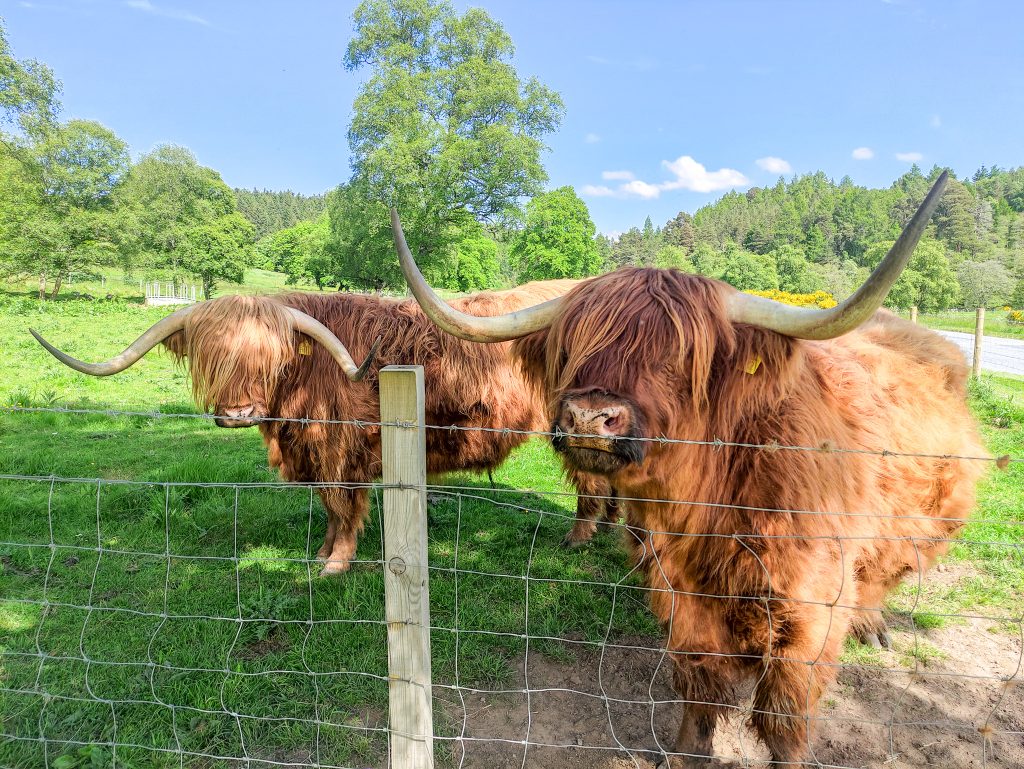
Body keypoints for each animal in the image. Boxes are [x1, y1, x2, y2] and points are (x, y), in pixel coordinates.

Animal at [34, 280, 614, 573]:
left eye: (270, 358)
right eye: (213, 358)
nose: (237, 414)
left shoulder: (341, 453)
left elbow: (342, 506)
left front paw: (336, 562)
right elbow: (328, 509)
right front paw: (322, 552)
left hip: (580, 426)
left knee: (590, 480)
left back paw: (579, 538)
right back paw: (607, 530)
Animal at [389, 171, 983, 765]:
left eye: (677, 359)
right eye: (573, 347)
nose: (588, 417)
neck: (715, 508)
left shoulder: (810, 611)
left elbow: (785, 713)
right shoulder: (683, 595)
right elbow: (698, 683)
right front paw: (684, 752)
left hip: (923, 525)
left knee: (885, 574)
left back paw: (873, 626)